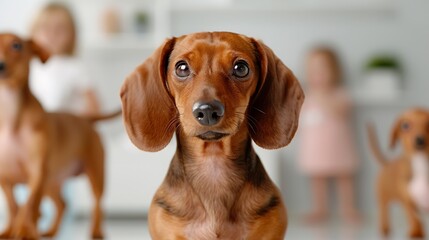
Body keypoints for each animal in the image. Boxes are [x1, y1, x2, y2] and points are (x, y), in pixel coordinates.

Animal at [0, 32, 117, 239]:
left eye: (16, 45)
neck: (10, 116)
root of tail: (85, 119)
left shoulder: (37, 173)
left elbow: (29, 205)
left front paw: (25, 231)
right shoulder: (4, 178)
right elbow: (13, 206)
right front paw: (9, 230)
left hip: (96, 174)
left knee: (97, 204)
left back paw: (96, 231)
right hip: (51, 182)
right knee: (62, 204)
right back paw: (51, 231)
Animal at [366, 108, 428, 238]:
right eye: (405, 125)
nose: (420, 140)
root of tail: (387, 163)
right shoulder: (408, 200)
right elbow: (413, 218)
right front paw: (416, 232)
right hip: (382, 198)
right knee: (383, 211)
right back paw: (384, 229)